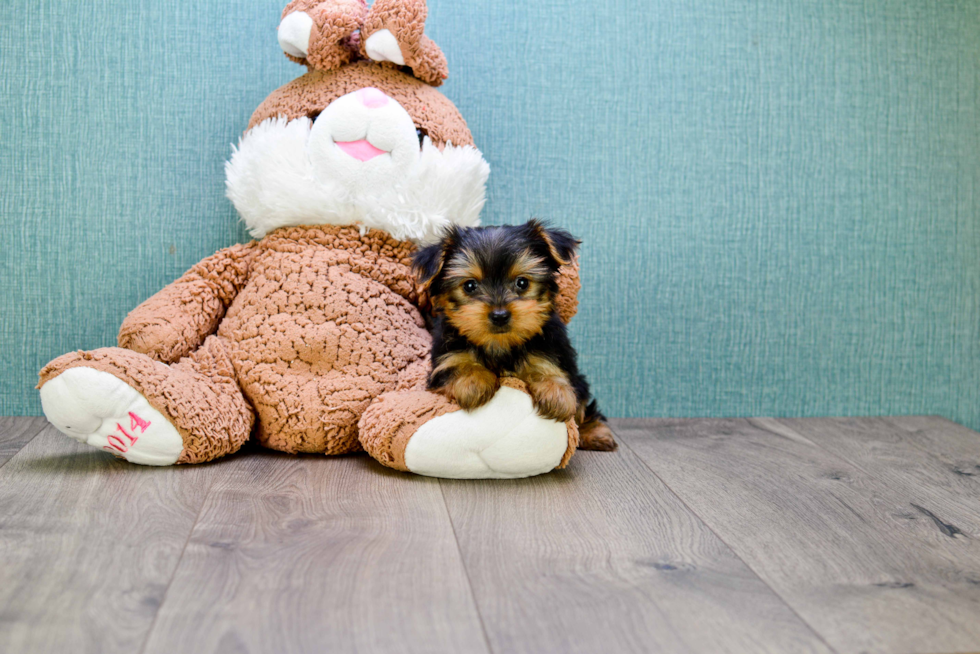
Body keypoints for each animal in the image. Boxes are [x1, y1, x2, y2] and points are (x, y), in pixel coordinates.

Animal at [412, 220, 612, 452]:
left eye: (522, 283)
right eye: (470, 286)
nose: (499, 315)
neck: (500, 344)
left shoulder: (552, 351)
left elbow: (549, 369)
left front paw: (556, 392)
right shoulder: (445, 357)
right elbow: (458, 364)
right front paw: (474, 381)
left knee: (585, 405)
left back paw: (594, 433)